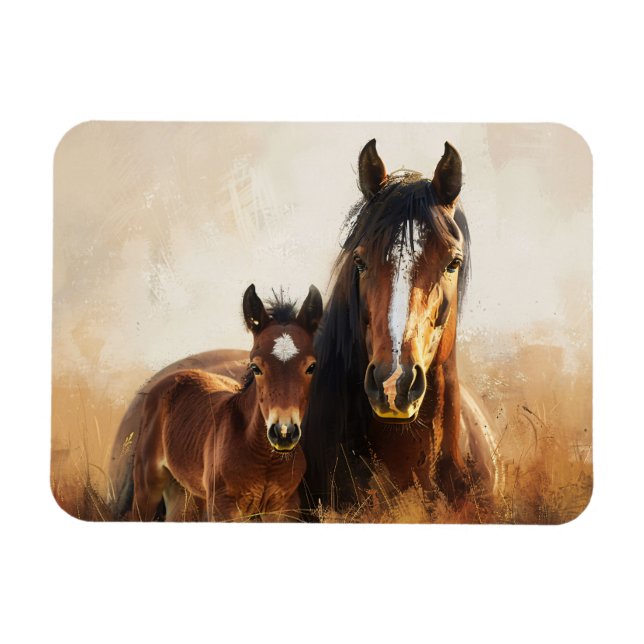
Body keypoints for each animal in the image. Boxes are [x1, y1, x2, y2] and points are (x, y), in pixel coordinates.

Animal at [127, 283, 323, 521]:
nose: (284, 433)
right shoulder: (224, 507)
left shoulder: (285, 507)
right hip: (147, 485)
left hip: (185, 492)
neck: (265, 459)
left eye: (311, 367)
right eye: (255, 367)